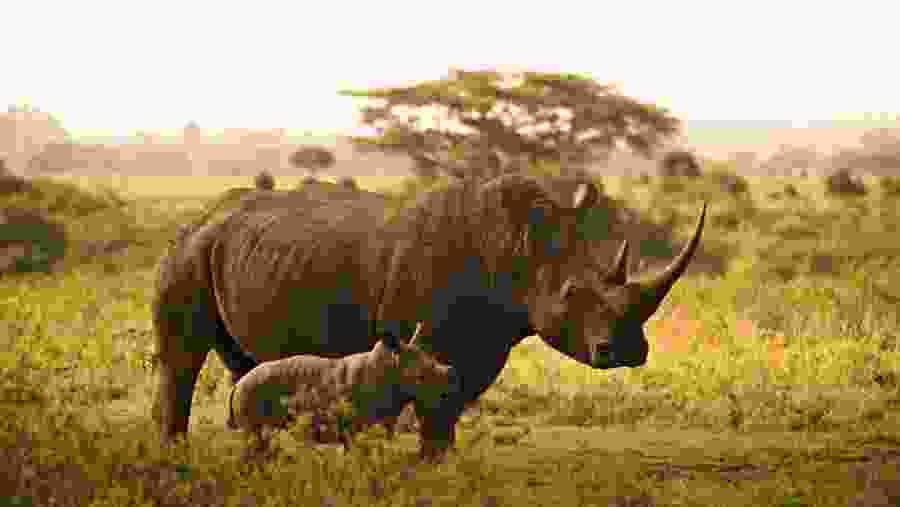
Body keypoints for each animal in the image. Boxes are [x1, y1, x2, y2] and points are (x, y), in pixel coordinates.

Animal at [226, 322, 459, 451]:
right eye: (421, 377)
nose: (452, 377)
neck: (392, 366)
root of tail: (237, 385)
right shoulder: (354, 429)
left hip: (249, 390)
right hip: (249, 391)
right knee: (254, 439)